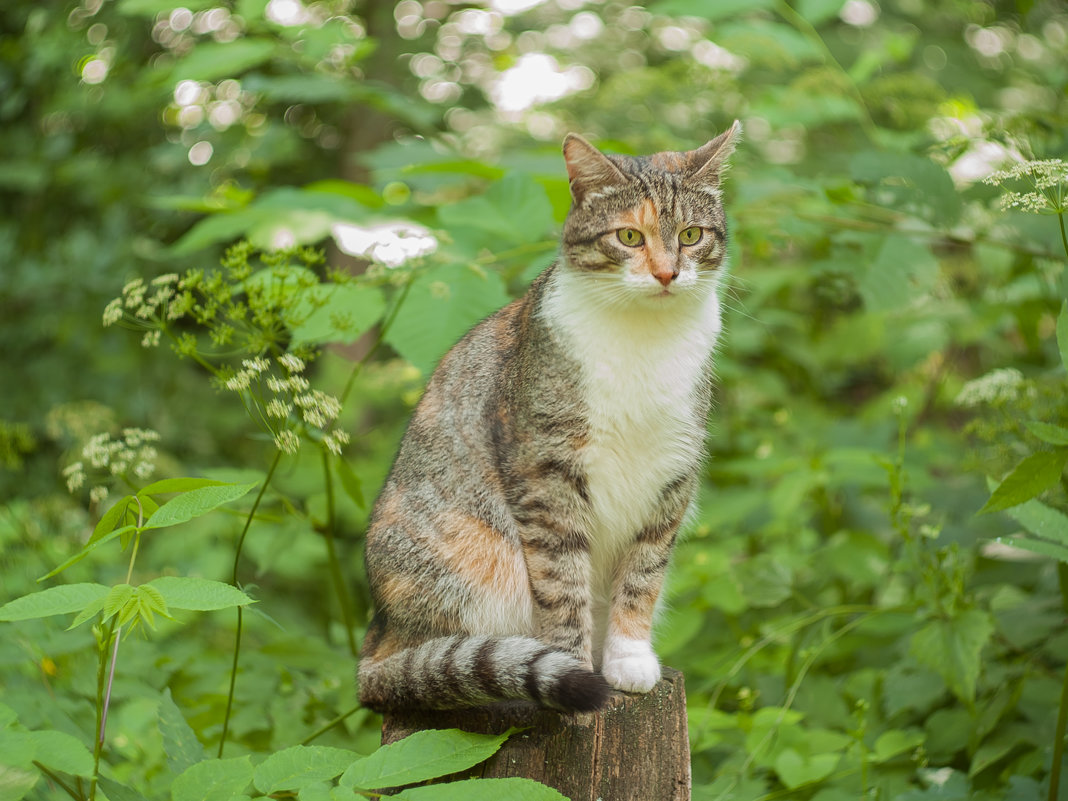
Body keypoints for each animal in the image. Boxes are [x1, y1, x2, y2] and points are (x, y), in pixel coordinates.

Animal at [354, 120, 739, 713]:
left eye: (692, 235)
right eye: (630, 237)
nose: (668, 273)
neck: (644, 340)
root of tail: (378, 635)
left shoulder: (671, 475)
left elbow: (642, 576)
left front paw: (628, 657)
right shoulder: (546, 473)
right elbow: (563, 582)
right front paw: (576, 664)